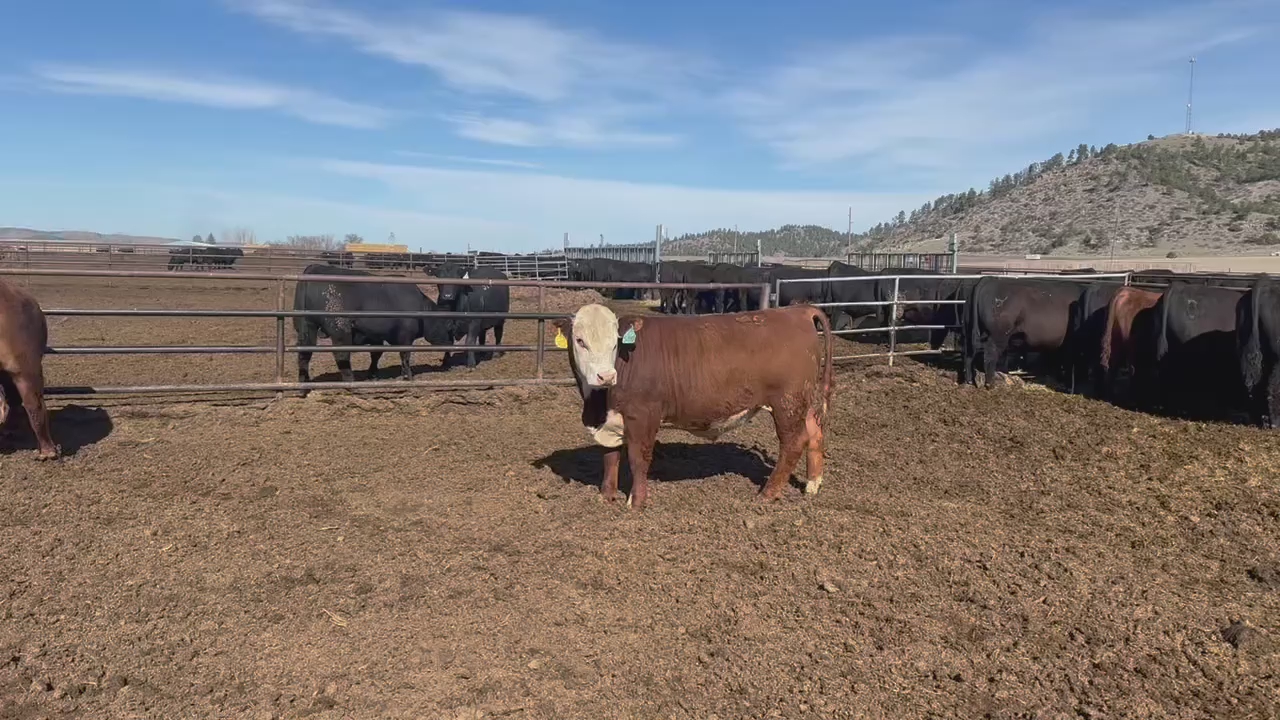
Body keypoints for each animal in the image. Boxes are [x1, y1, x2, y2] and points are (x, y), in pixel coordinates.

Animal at [293, 264, 454, 387]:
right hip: (340, 330)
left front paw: (373, 373)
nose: (451, 343)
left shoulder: (376, 335)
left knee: (304, 354)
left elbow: (376, 354)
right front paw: (407, 376)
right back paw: (351, 383)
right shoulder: (405, 337)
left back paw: (303, 384)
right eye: (448, 325)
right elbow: (405, 355)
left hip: (306, 326)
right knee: (341, 355)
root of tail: (314, 267)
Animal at [552, 302, 833, 510]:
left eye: (615, 342)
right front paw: (605, 496)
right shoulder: (609, 421)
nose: (606, 376)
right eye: (580, 340)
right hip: (803, 401)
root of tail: (798, 310)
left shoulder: (643, 416)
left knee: (793, 443)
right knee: (814, 434)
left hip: (787, 402)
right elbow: (610, 457)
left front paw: (636, 502)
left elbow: (638, 458)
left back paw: (768, 494)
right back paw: (812, 485)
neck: (599, 403)